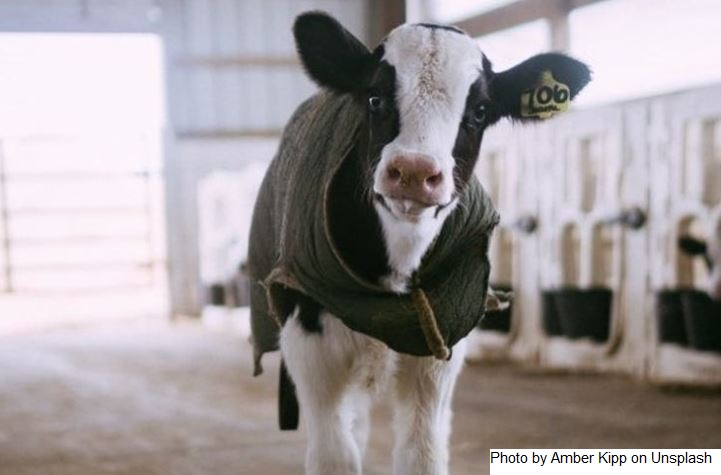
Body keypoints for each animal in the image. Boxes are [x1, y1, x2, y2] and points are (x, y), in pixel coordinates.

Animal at [247, 11, 590, 475]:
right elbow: (334, 455)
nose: (413, 171)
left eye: (480, 110)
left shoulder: (440, 345)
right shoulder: (309, 339)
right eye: (374, 97)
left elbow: (422, 455)